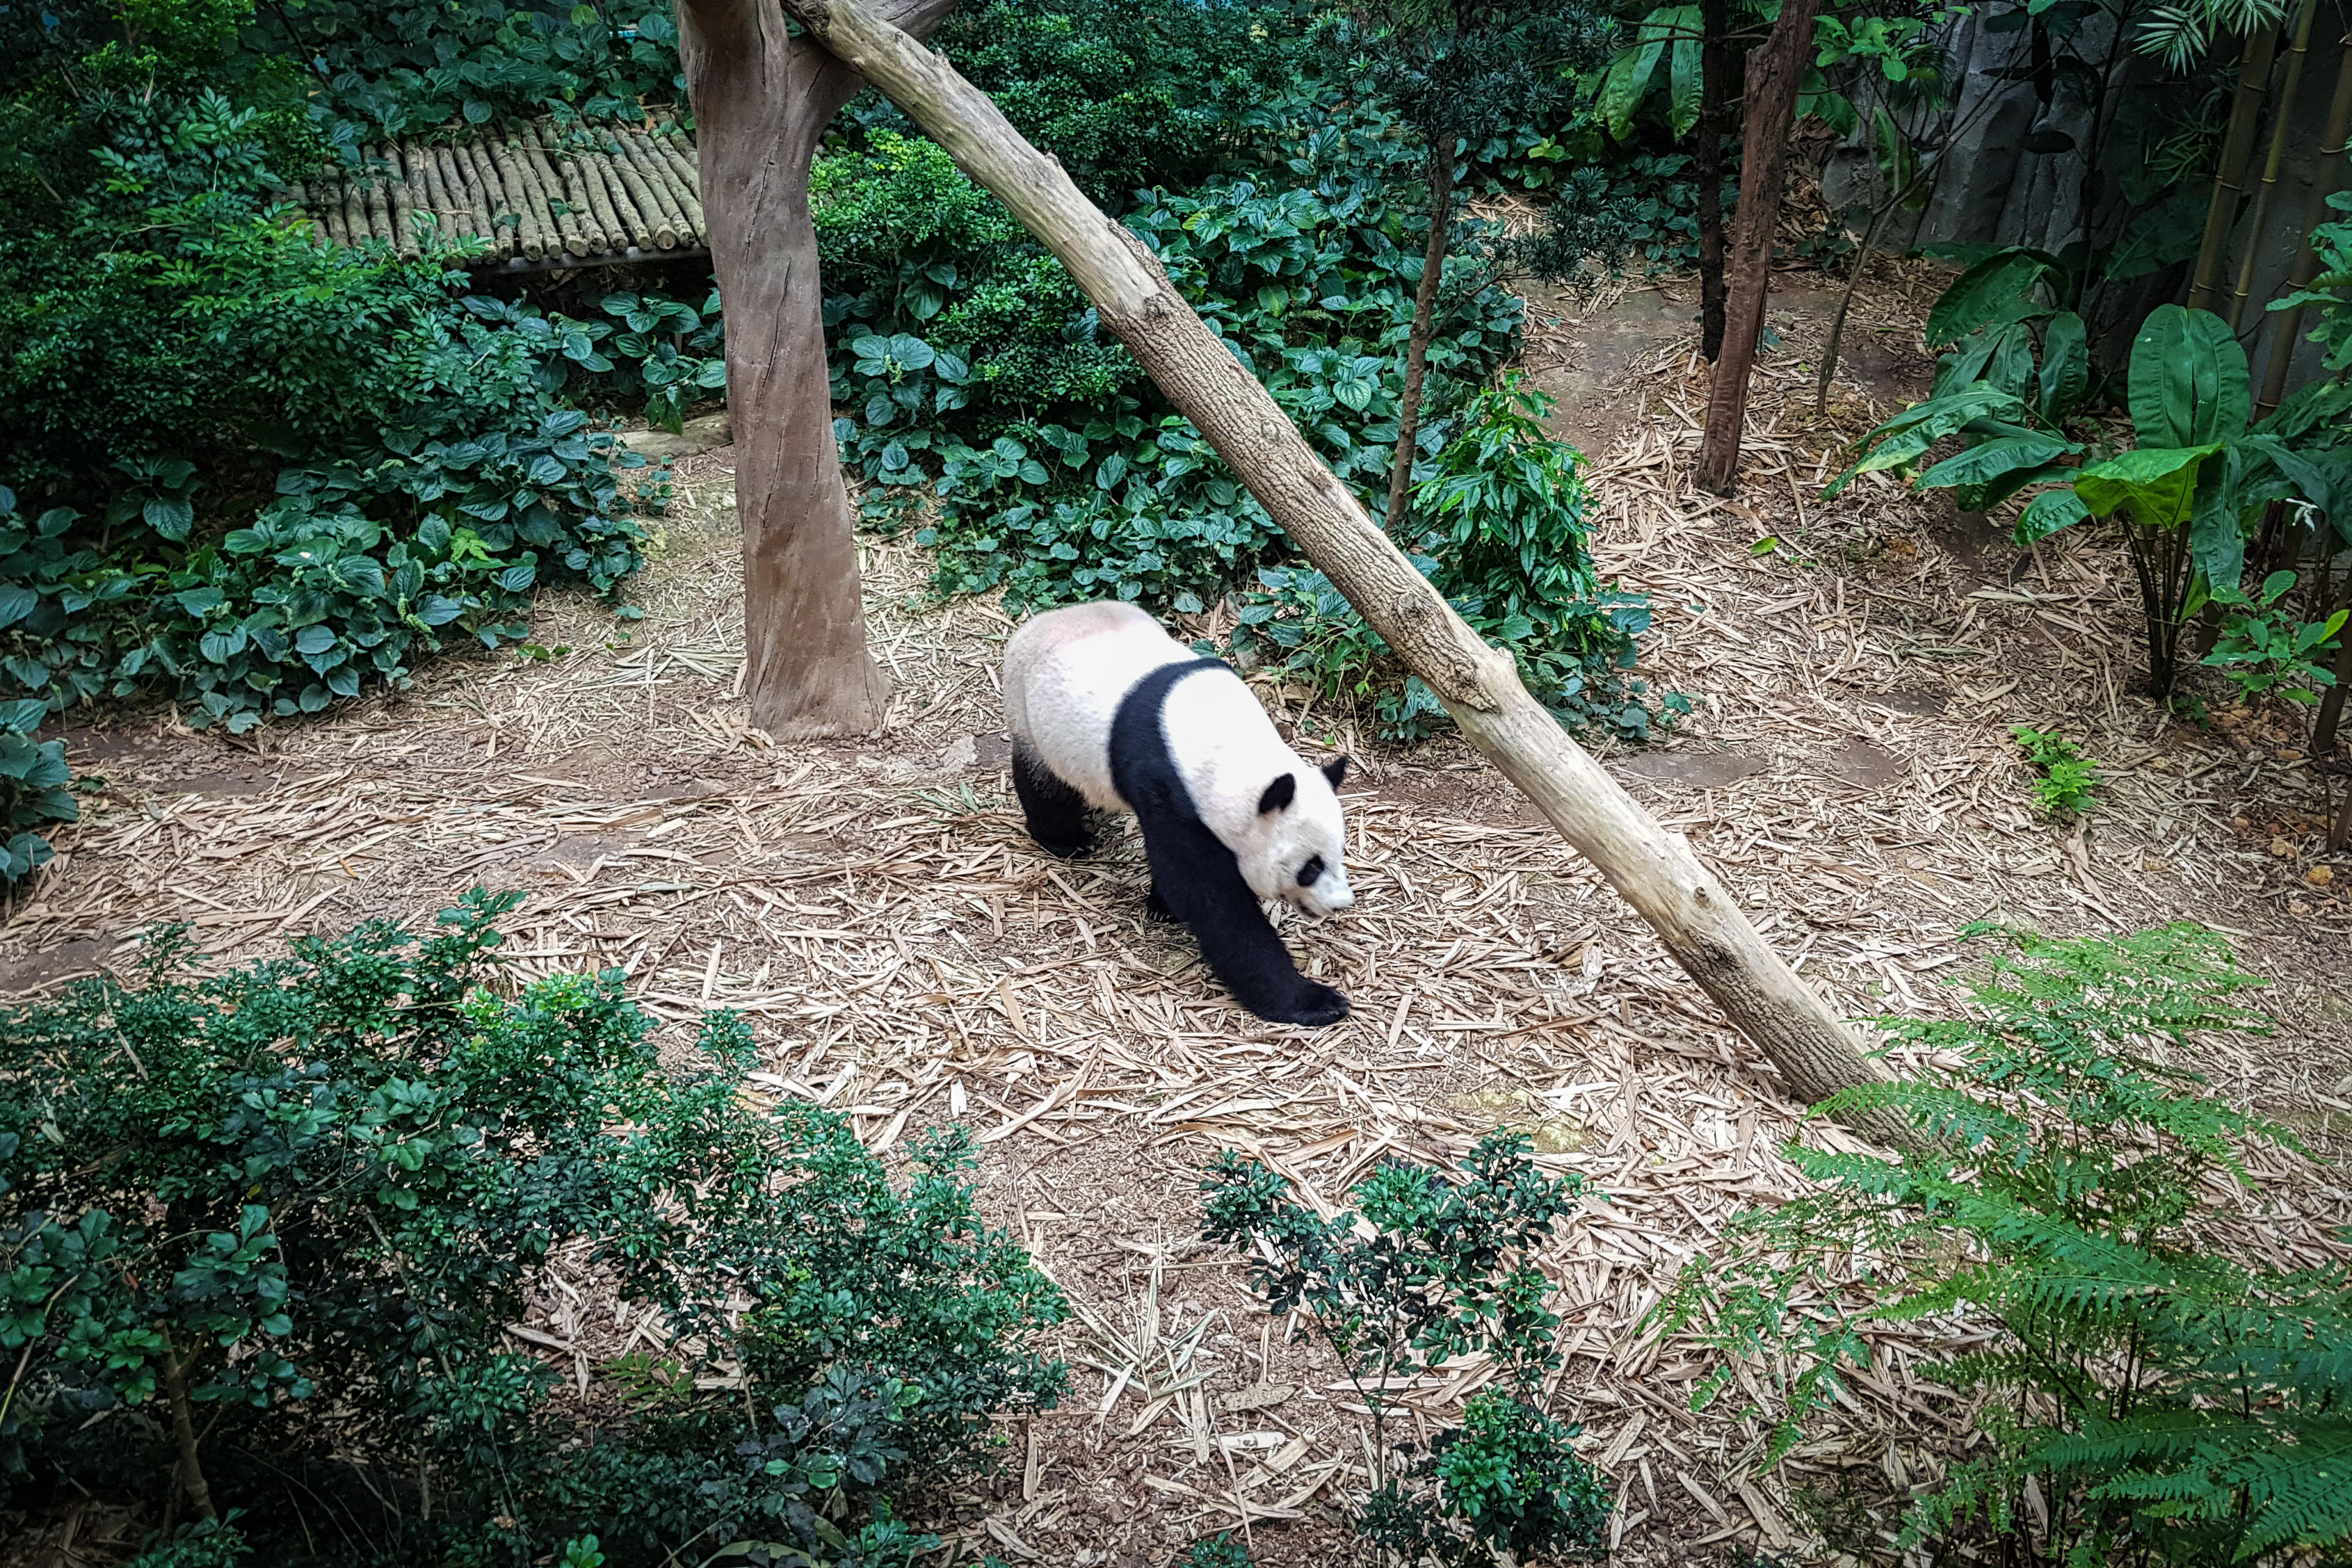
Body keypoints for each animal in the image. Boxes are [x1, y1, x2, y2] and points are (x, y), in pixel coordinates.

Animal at [997, 601, 1364, 1029]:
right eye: (1311, 867)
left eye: (1340, 854)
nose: (1340, 904)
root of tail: (1045, 619)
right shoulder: (1166, 783)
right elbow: (1207, 896)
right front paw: (1312, 1000)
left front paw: (1161, 906)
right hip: (1030, 710)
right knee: (1044, 782)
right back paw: (1065, 839)